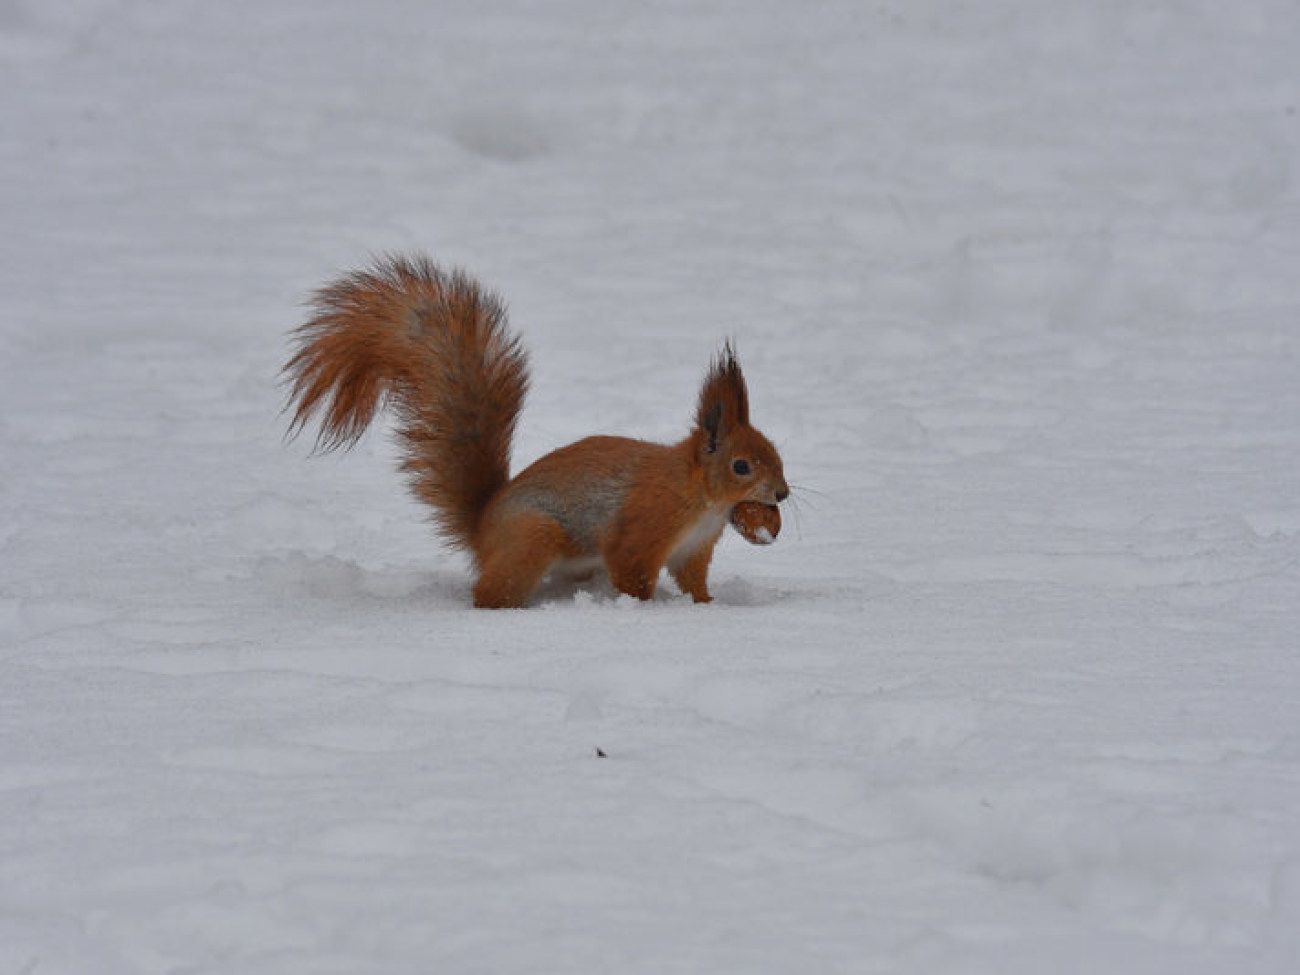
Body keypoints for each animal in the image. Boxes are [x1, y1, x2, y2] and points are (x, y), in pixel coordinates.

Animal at [283, 256, 785, 608]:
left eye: (776, 452)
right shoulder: (644, 526)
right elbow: (631, 571)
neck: (703, 500)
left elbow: (693, 582)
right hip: (533, 537)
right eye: (741, 465)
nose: (781, 494)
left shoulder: (693, 550)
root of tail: (482, 529)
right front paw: (644, 609)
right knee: (489, 594)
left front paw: (706, 607)